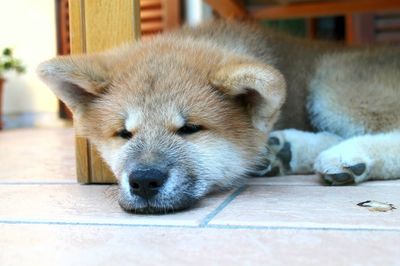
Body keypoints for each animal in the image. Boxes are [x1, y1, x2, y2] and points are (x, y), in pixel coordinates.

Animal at [38, 19, 400, 213]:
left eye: (190, 129)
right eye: (124, 134)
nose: (144, 181)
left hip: (332, 82)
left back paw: (348, 155)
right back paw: (284, 151)